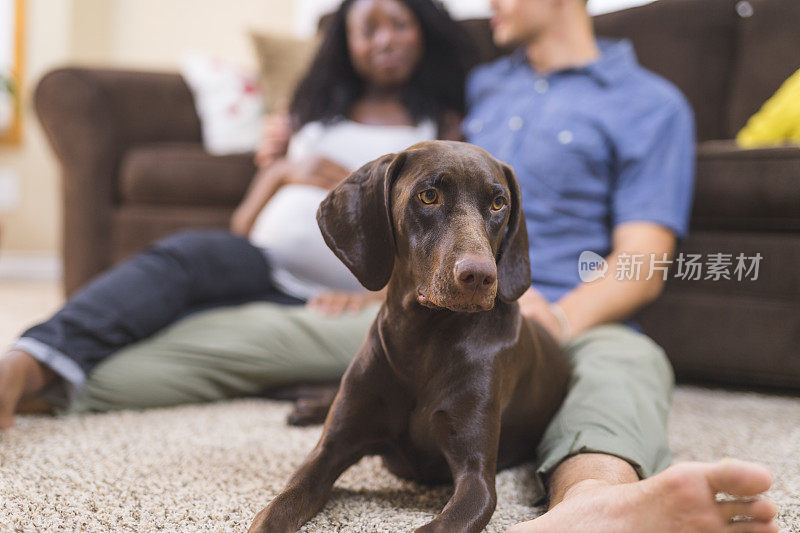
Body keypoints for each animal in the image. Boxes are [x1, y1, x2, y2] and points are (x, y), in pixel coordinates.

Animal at [248, 139, 568, 528]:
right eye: (428, 196)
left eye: (498, 203)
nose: (481, 276)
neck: (423, 339)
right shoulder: (329, 451)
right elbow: (279, 506)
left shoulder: (476, 479)